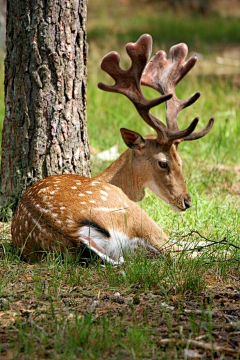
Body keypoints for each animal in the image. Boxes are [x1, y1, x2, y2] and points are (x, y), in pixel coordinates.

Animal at [11, 33, 214, 264]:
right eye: (163, 163)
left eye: (180, 160)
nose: (187, 201)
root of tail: (73, 233)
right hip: (136, 216)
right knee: (178, 252)